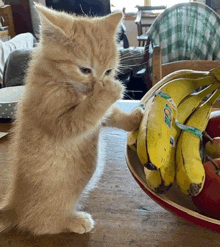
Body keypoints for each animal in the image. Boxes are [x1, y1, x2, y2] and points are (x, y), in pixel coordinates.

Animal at [0, 4, 143, 235]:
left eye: (108, 71)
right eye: (85, 70)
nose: (99, 84)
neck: (59, 80)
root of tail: (14, 207)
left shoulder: (99, 116)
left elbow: (110, 114)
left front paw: (133, 119)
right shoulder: (56, 116)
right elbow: (84, 116)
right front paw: (109, 92)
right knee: (40, 224)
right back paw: (73, 220)